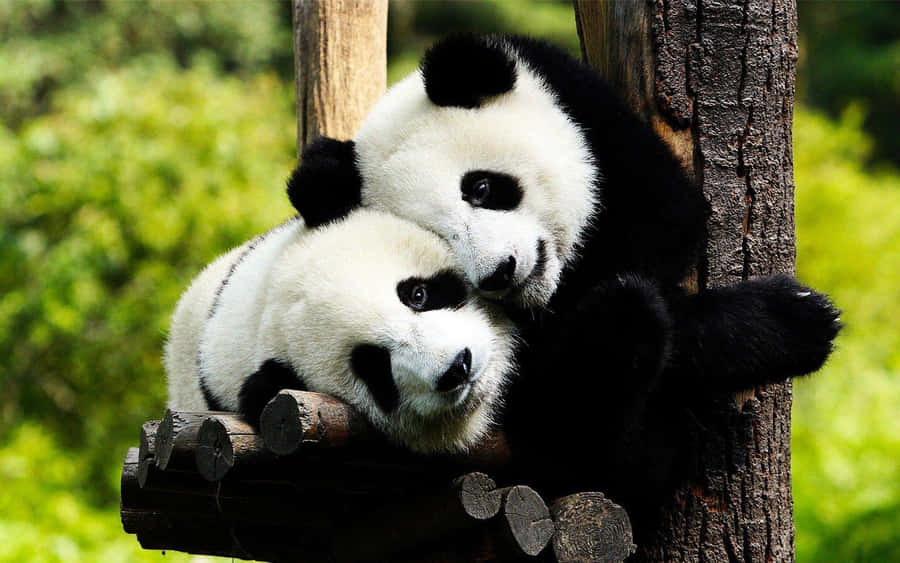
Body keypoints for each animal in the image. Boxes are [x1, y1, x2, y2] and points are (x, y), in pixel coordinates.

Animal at [284, 34, 841, 529]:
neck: (553, 287)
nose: (500, 272)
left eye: (481, 188)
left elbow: (668, 225)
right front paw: (792, 321)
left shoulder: (598, 129)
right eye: (440, 240)